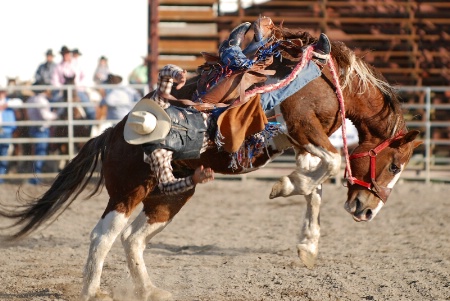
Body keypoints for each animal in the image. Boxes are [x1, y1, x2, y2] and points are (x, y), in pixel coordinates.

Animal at [0, 28, 422, 300]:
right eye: (395, 167)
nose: (366, 211)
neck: (328, 78)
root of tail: (111, 134)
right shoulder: (302, 126)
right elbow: (330, 167)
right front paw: (285, 186)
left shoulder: (302, 141)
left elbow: (316, 186)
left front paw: (307, 242)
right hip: (127, 191)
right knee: (103, 235)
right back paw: (91, 291)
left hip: (169, 196)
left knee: (133, 238)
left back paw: (149, 290)